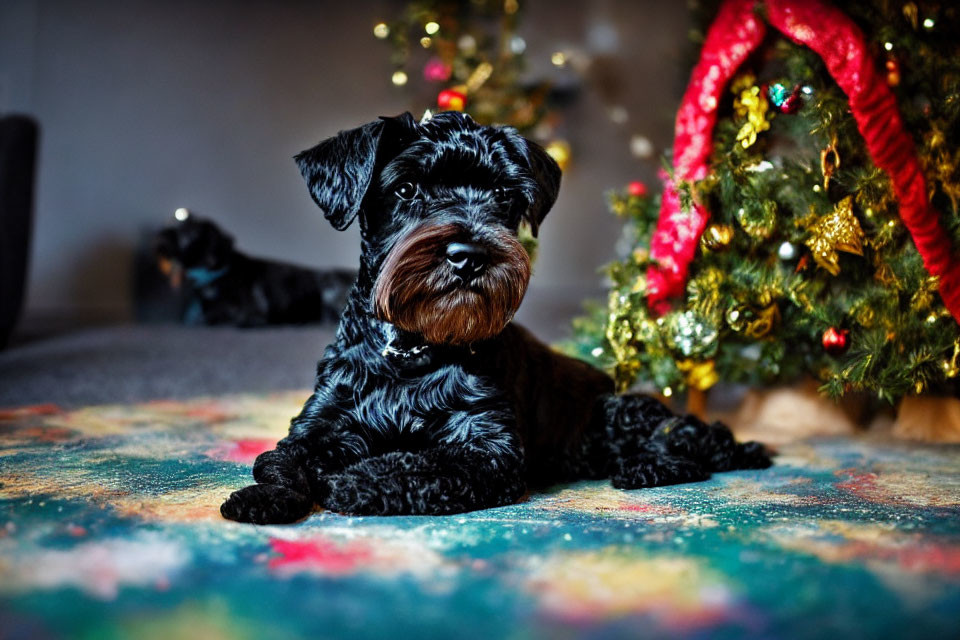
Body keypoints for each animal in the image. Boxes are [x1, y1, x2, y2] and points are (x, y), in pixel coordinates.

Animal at [219, 112, 772, 524]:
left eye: (504, 195)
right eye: (407, 189)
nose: (468, 256)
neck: (413, 351)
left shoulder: (489, 448)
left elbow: (422, 463)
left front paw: (355, 481)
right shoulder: (317, 426)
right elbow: (279, 462)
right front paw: (262, 499)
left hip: (620, 411)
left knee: (690, 448)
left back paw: (645, 468)